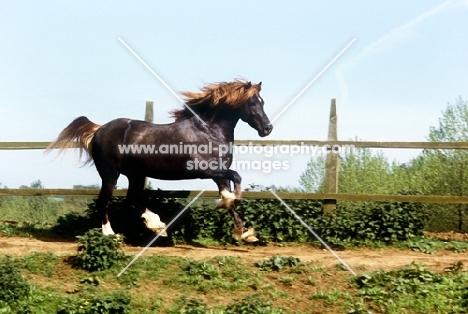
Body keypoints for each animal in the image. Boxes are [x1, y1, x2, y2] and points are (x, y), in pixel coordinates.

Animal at [45, 79, 272, 242]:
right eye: (252, 102)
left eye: (263, 102)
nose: (267, 128)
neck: (209, 131)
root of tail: (99, 130)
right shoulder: (206, 170)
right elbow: (236, 181)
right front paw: (233, 210)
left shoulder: (219, 173)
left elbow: (229, 197)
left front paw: (244, 233)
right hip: (110, 174)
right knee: (105, 201)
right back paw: (111, 234)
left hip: (136, 174)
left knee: (132, 199)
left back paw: (158, 226)